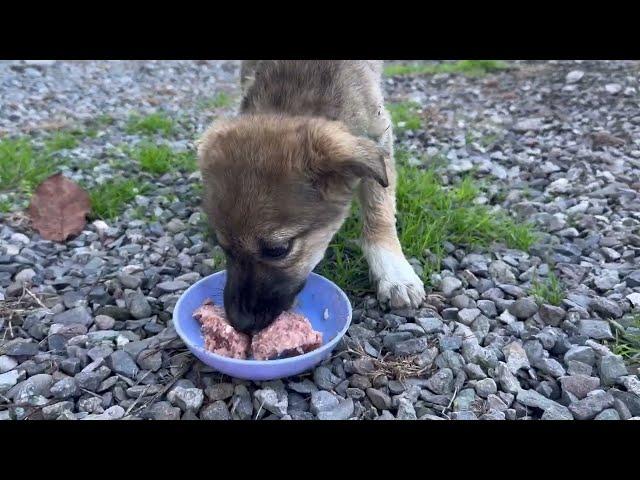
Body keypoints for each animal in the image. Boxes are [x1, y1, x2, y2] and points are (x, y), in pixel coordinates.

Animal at [198, 61, 422, 334]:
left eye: (278, 250)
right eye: (223, 245)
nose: (240, 323)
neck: (295, 94)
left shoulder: (377, 132)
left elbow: (379, 209)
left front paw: (394, 274)